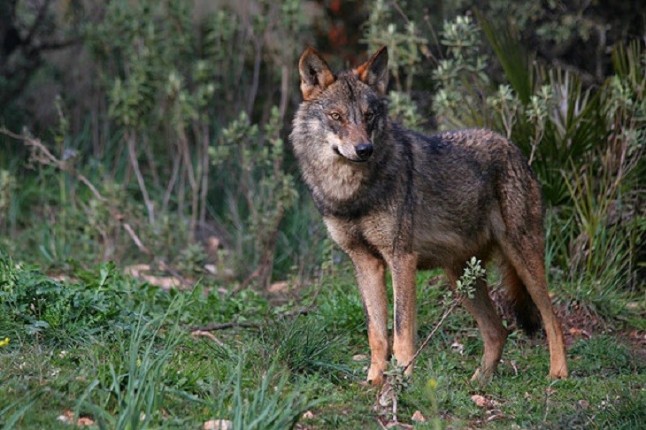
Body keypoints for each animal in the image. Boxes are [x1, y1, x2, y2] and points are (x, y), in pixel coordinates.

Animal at [290, 46, 568, 386]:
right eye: (336, 116)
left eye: (369, 116)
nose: (364, 149)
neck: (350, 194)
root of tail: (514, 148)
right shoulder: (366, 263)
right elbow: (376, 333)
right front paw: (374, 382)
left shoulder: (401, 258)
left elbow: (401, 331)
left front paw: (401, 380)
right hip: (461, 278)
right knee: (497, 331)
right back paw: (478, 382)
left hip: (521, 257)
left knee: (552, 319)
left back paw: (558, 374)